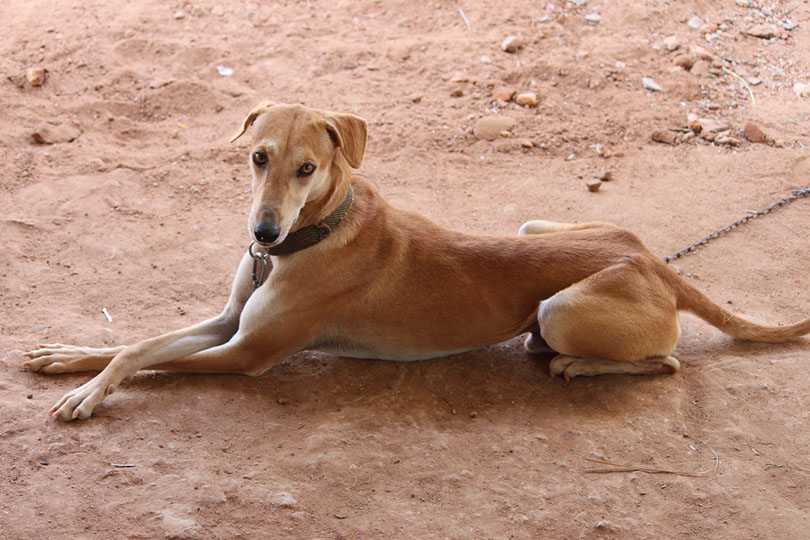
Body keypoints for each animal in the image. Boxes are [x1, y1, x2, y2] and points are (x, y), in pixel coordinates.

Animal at [23, 101, 808, 422]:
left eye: (308, 168)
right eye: (258, 157)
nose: (263, 235)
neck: (318, 231)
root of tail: (653, 261)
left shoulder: (246, 352)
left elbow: (153, 361)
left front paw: (89, 394)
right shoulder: (229, 321)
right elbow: (133, 344)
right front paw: (70, 362)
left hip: (562, 308)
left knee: (666, 360)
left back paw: (577, 366)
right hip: (538, 225)